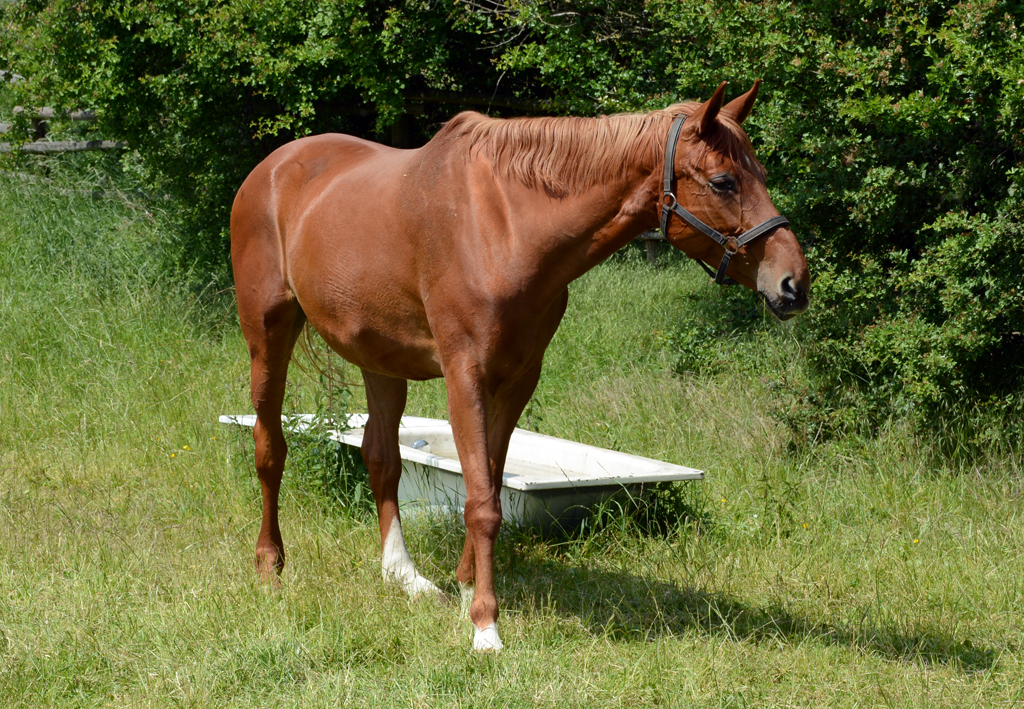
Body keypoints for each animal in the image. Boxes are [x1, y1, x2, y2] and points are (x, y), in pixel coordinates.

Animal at [230, 80, 806, 651]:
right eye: (724, 181)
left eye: (759, 175)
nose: (794, 284)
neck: (505, 227)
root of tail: (271, 168)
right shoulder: (465, 376)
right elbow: (482, 501)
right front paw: (486, 626)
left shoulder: (516, 381)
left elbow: (487, 485)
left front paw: (466, 589)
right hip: (268, 337)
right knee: (269, 448)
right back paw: (270, 567)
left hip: (381, 359)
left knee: (381, 458)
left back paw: (404, 576)